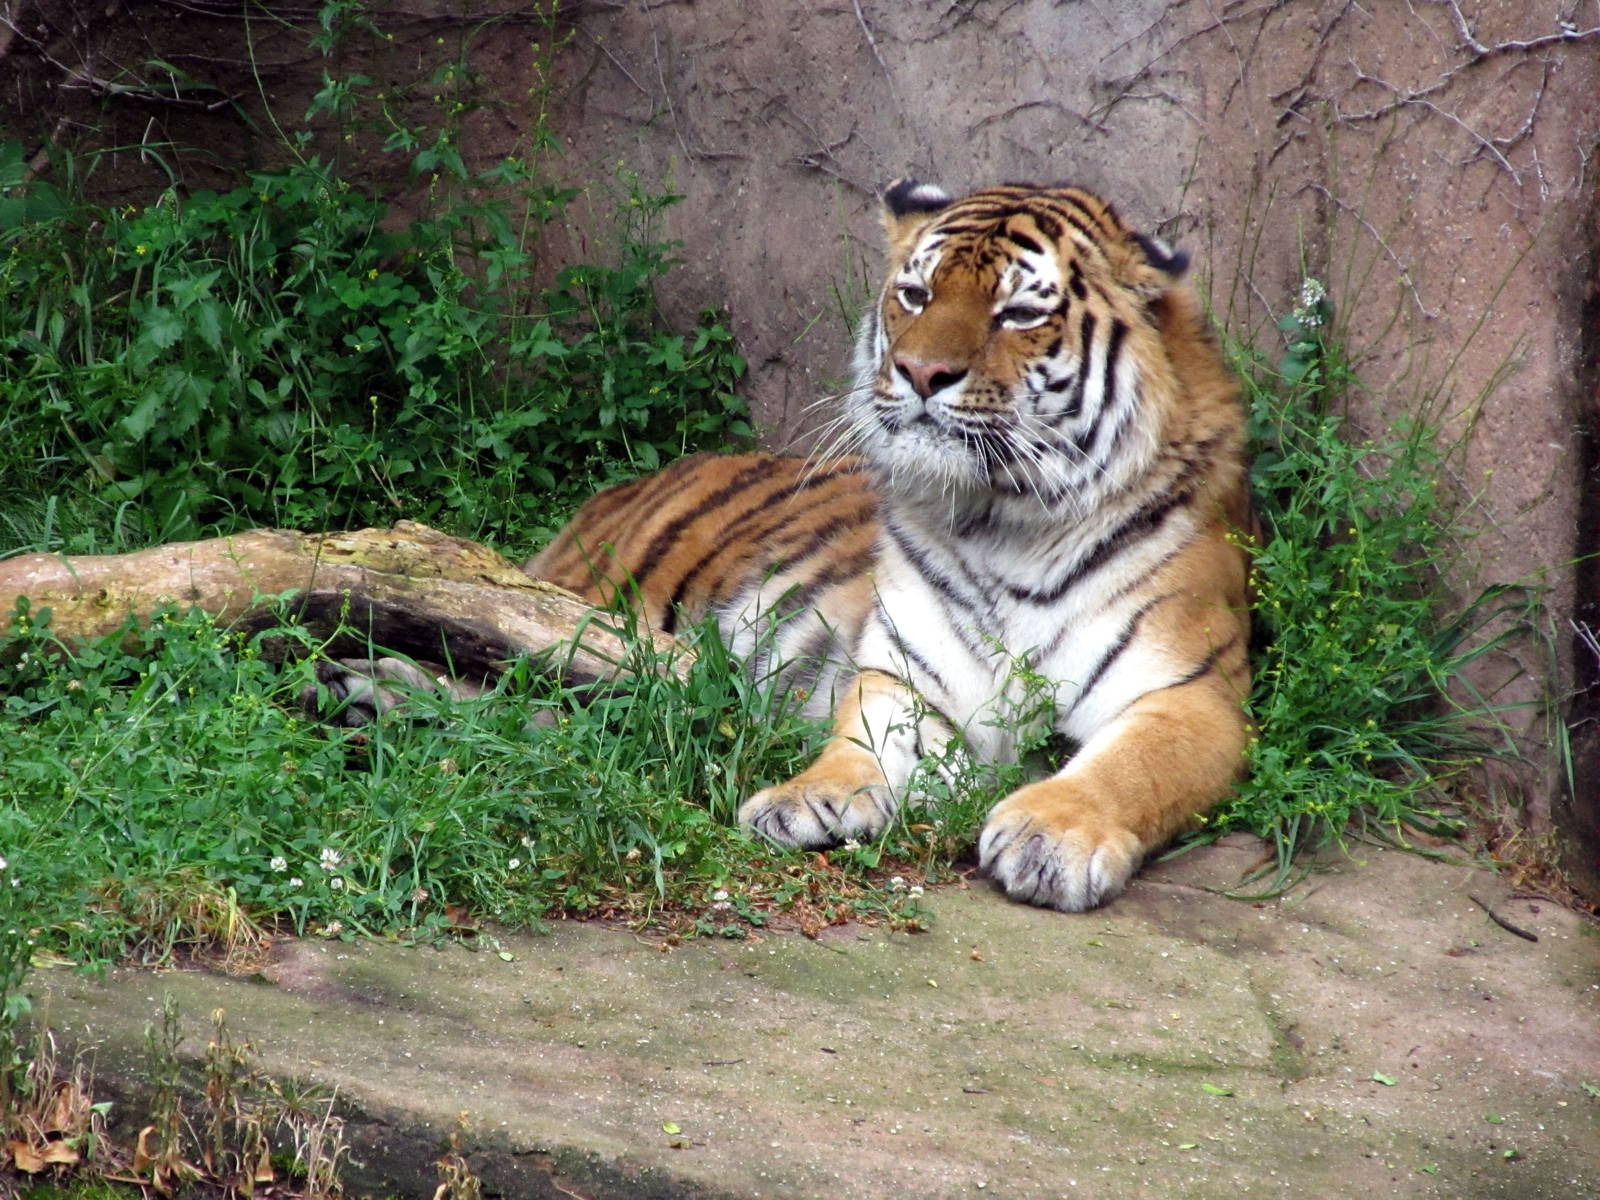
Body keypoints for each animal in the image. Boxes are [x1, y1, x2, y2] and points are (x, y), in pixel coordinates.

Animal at [524, 179, 1253, 912]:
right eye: (917, 295)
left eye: (1019, 314)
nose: (921, 371)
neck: (1002, 524)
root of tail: (618, 491)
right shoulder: (901, 672)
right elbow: (862, 738)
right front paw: (805, 799)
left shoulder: (1194, 695)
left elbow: (1134, 767)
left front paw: (1052, 837)